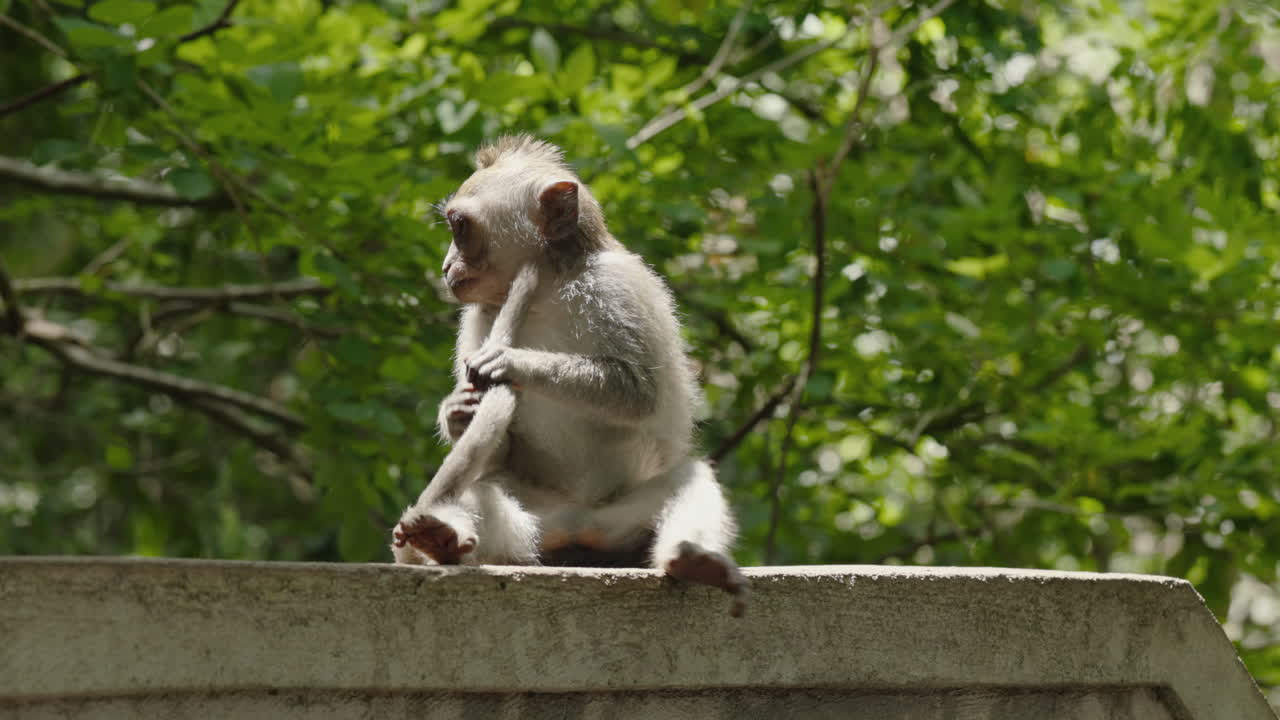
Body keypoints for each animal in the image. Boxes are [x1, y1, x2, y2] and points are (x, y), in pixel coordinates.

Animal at [392, 135, 746, 615]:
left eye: (459, 228)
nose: (446, 266)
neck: (545, 289)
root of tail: (577, 530)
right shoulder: (477, 318)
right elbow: (497, 446)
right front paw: (458, 410)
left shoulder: (615, 288)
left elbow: (639, 391)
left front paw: (513, 361)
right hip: (535, 525)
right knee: (481, 491)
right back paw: (441, 537)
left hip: (620, 521)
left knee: (690, 480)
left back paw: (693, 561)